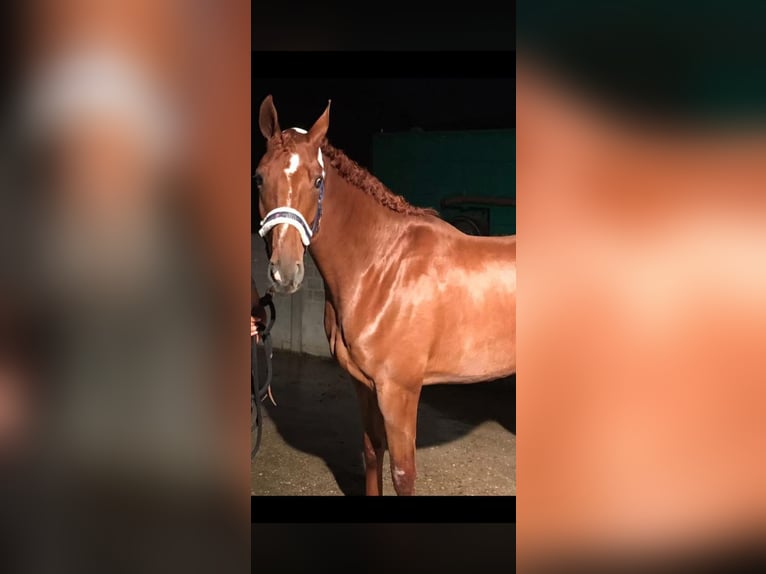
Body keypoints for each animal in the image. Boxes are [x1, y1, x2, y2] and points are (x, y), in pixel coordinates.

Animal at [255, 94, 516, 495]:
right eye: (259, 177)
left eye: (317, 180)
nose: (284, 272)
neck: (382, 265)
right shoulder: (364, 385)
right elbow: (372, 451)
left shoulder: (399, 391)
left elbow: (402, 473)